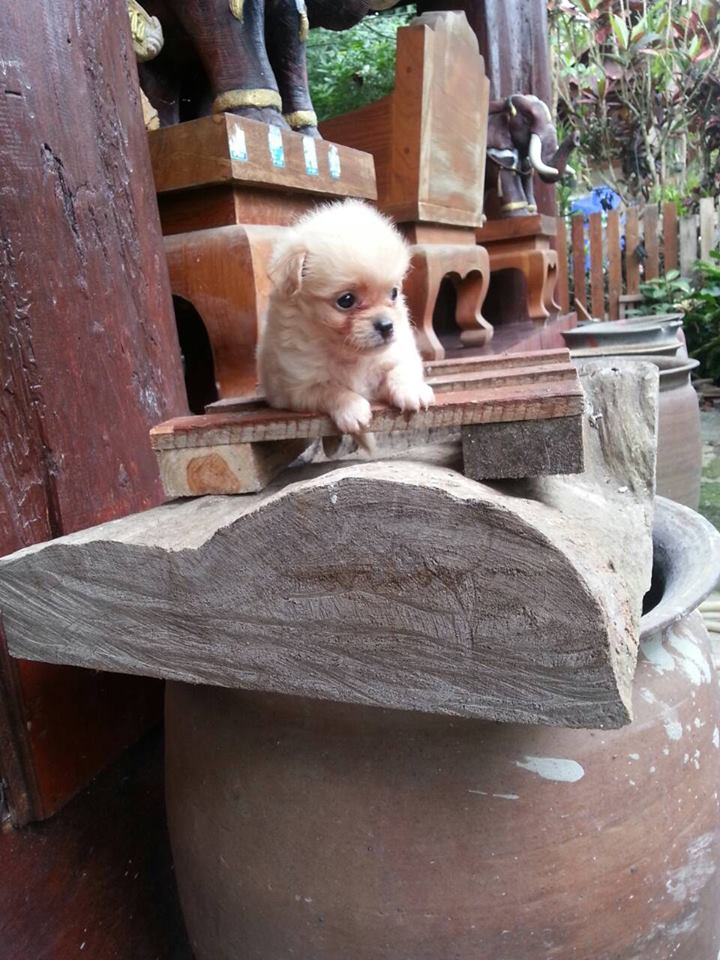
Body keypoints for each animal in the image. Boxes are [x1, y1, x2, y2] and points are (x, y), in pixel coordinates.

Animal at [257, 200, 434, 443]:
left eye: (394, 293)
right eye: (346, 300)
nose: (387, 326)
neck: (351, 356)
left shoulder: (400, 354)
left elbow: (399, 370)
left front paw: (411, 390)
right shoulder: (299, 387)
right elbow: (331, 390)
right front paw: (352, 409)